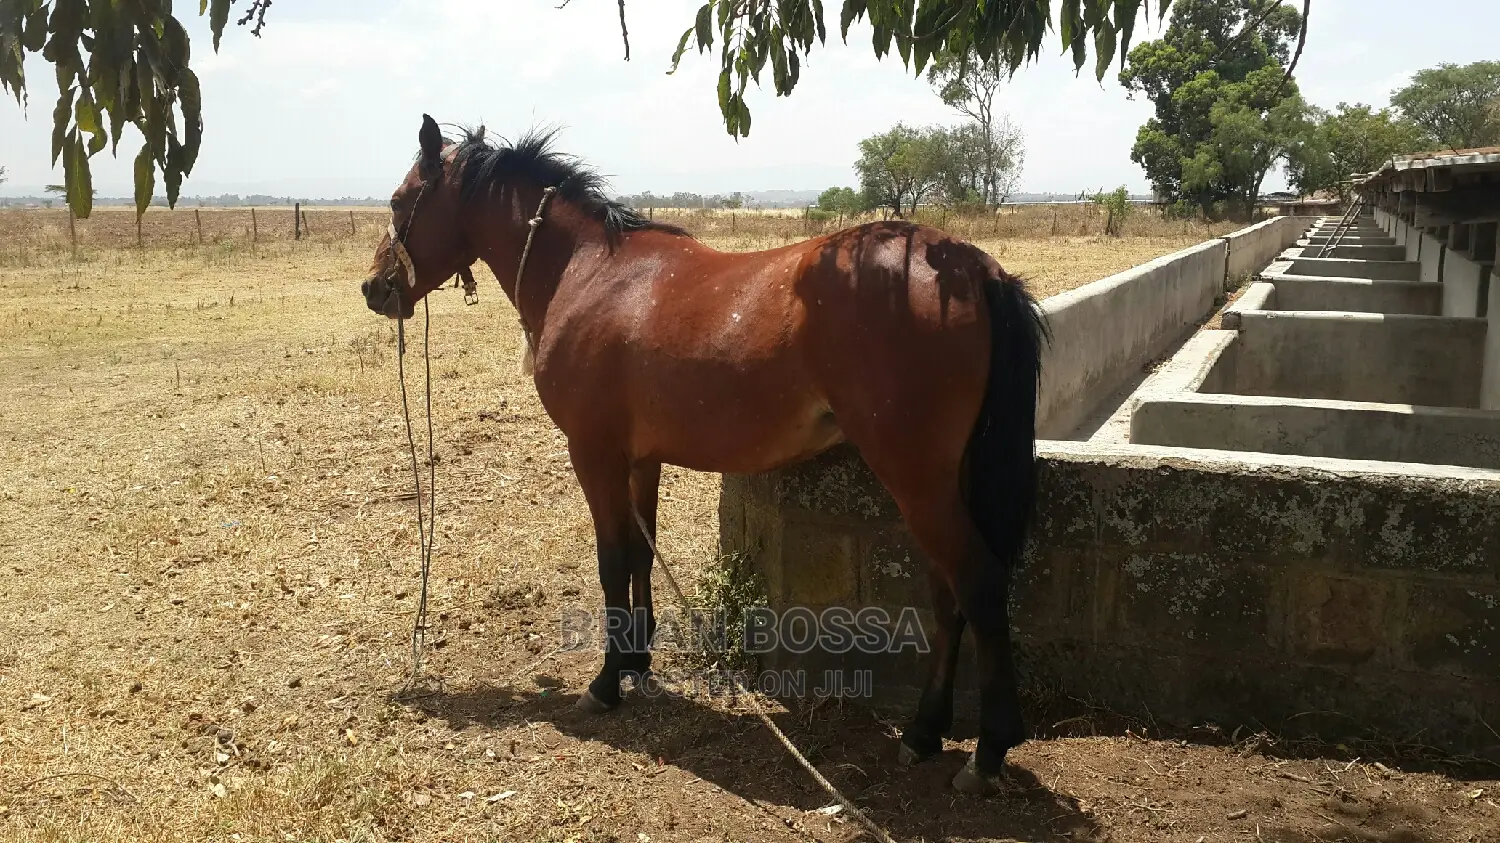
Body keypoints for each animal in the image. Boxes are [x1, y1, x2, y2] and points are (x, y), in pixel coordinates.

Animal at [360, 115, 1048, 795]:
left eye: (397, 199)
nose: (374, 287)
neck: (587, 272)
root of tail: (970, 266)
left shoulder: (594, 453)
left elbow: (612, 561)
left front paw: (606, 683)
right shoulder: (641, 460)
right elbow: (640, 554)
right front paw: (637, 662)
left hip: (916, 480)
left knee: (977, 584)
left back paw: (988, 750)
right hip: (942, 482)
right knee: (947, 595)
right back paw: (924, 733)